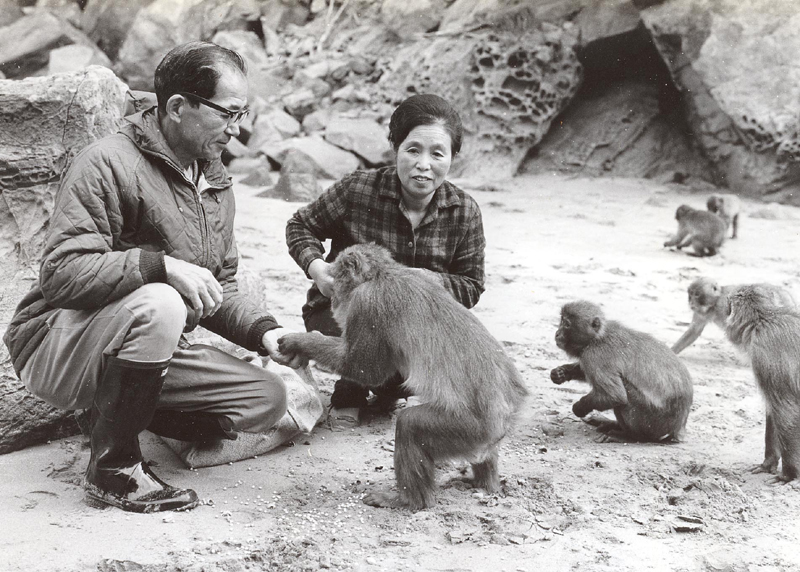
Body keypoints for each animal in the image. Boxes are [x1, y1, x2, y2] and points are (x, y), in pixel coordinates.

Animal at [278, 244, 528, 512]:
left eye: (334, 282)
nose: (333, 299)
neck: (382, 275)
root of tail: (508, 415)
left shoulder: (367, 303)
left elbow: (364, 369)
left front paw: (299, 342)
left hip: (471, 429)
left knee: (410, 425)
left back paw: (408, 500)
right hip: (482, 437)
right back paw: (483, 483)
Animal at [552, 300, 692, 442]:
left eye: (567, 324)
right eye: (561, 321)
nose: (557, 333)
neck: (598, 337)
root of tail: (678, 427)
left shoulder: (594, 356)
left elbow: (615, 396)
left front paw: (579, 407)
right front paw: (562, 372)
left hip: (653, 424)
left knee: (626, 391)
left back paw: (628, 436)